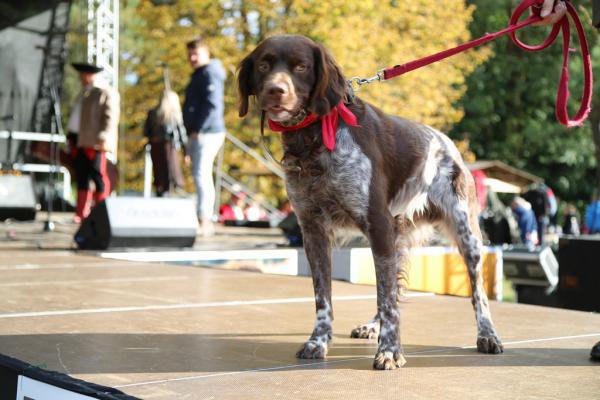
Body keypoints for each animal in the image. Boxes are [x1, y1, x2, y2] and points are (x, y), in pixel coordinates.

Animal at [237, 36, 504, 370]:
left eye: (301, 66)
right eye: (263, 65)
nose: (276, 90)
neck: (314, 138)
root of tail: (447, 143)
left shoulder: (377, 224)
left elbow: (388, 300)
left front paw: (390, 351)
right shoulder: (314, 230)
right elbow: (325, 297)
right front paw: (318, 341)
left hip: (466, 237)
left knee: (477, 293)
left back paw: (488, 334)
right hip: (394, 237)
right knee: (391, 288)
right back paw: (372, 325)